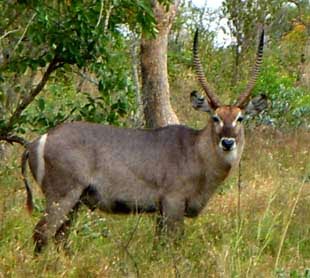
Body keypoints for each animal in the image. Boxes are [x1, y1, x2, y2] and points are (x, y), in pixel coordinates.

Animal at [21, 28, 266, 252]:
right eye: (215, 117)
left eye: (240, 118)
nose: (227, 142)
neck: (196, 151)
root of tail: (37, 141)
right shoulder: (173, 203)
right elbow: (172, 245)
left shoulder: (161, 210)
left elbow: (158, 245)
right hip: (62, 196)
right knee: (41, 233)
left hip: (75, 201)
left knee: (60, 237)